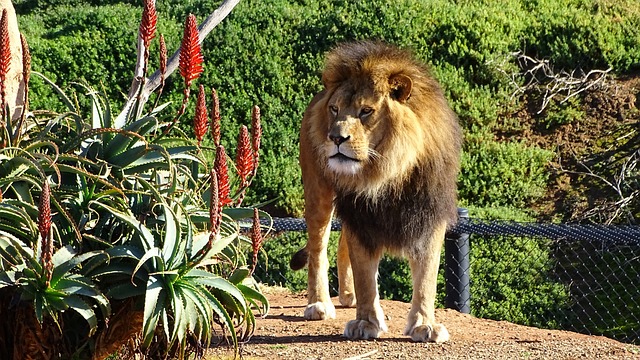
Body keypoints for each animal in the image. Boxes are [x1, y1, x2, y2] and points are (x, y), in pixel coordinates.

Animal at [290, 40, 460, 342]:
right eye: (334, 109)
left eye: (366, 111)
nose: (336, 137)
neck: (387, 173)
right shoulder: (361, 217)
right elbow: (366, 276)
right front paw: (366, 323)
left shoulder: (429, 215)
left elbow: (427, 277)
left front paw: (424, 325)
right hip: (317, 192)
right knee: (318, 248)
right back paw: (319, 304)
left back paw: (348, 295)